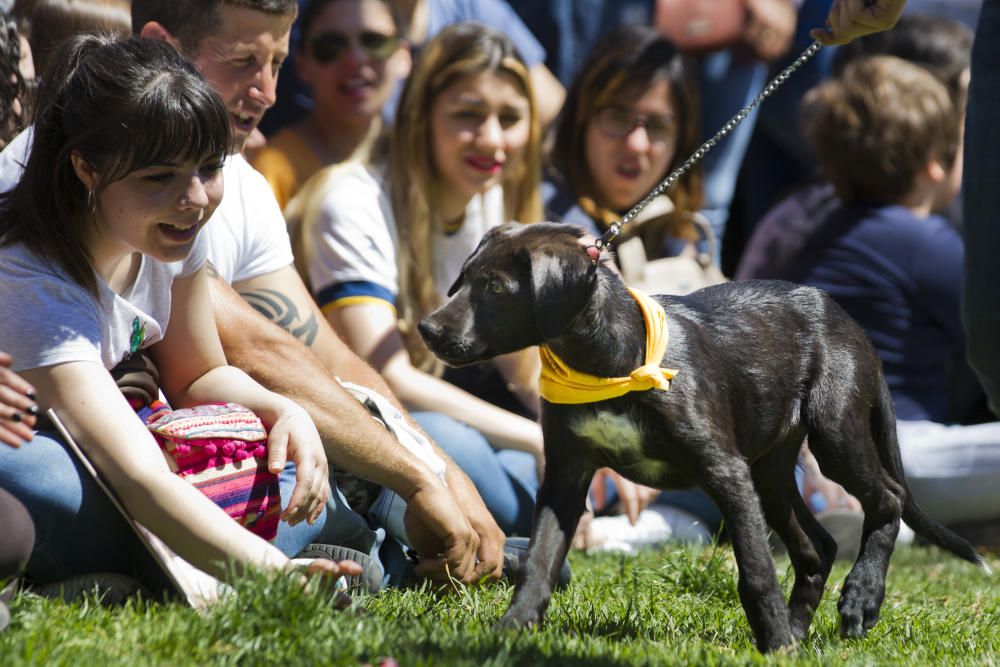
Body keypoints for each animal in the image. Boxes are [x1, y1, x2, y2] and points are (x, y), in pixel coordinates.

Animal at [418, 223, 988, 652]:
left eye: (496, 288)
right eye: (464, 279)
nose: (427, 329)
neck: (608, 361)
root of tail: (849, 322)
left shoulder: (723, 469)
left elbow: (756, 569)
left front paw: (774, 640)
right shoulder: (565, 473)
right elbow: (540, 559)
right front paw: (511, 632)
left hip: (833, 432)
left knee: (887, 499)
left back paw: (859, 600)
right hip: (770, 470)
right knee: (818, 547)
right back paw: (799, 636)